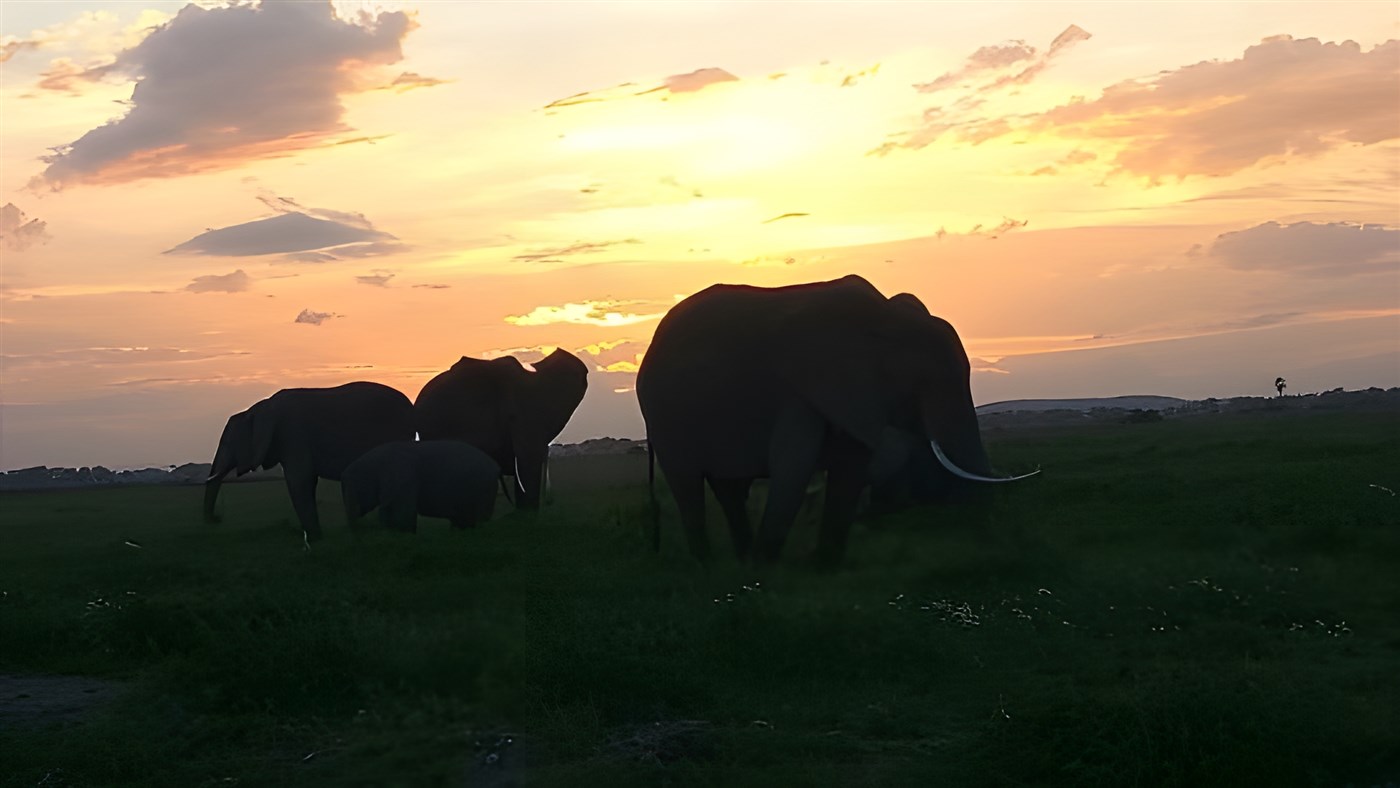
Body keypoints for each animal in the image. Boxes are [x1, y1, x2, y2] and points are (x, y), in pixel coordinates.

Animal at [203, 382, 416, 540]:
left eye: (227, 443)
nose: (217, 519)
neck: (258, 407)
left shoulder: (292, 435)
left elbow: (299, 480)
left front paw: (315, 539)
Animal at [340, 440, 500, 532]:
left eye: (355, 487)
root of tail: (496, 467)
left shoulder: (405, 478)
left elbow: (403, 512)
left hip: (484, 488)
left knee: (479, 517)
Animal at [636, 274, 1036, 565]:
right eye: (923, 383)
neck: (883, 322)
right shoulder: (805, 385)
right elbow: (794, 467)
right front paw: (765, 571)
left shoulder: (856, 394)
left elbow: (850, 467)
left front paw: (823, 565)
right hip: (663, 414)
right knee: (688, 486)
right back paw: (710, 565)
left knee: (729, 488)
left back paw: (740, 557)